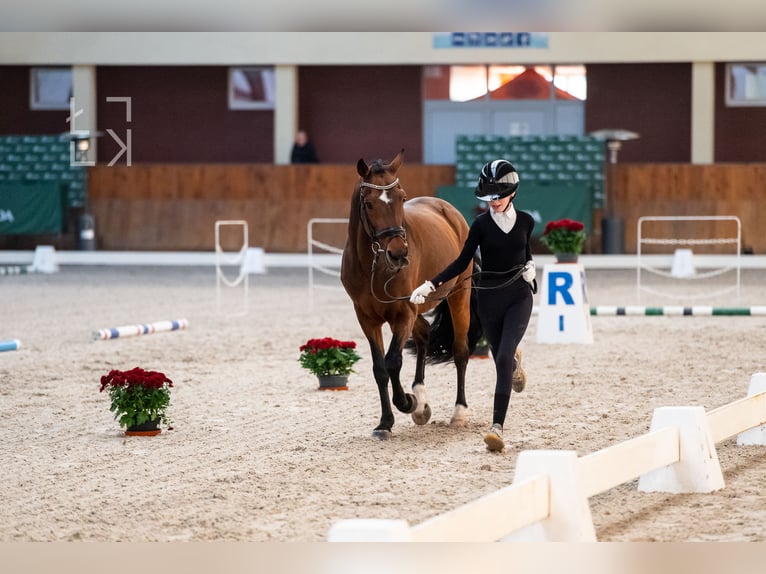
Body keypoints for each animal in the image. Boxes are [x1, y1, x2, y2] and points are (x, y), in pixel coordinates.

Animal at [340, 150, 480, 440]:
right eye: (369, 204)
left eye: (402, 198)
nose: (399, 254)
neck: (373, 266)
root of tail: (448, 210)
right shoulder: (367, 318)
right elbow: (379, 368)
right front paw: (385, 422)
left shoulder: (402, 314)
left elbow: (393, 361)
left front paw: (406, 402)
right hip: (416, 308)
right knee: (425, 335)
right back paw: (421, 402)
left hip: (458, 295)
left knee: (460, 351)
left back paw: (458, 412)